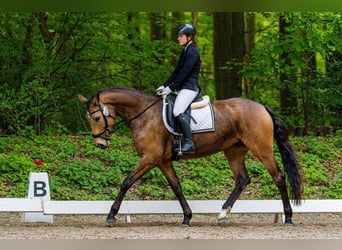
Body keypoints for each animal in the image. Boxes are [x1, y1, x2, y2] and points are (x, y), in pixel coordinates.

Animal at [77, 86, 302, 227]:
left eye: (96, 118)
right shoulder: (162, 161)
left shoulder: (149, 158)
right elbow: (176, 187)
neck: (144, 115)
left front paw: (111, 215)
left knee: (278, 177)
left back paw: (288, 217)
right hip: (234, 151)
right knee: (242, 179)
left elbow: (126, 182)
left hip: (261, 149)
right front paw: (187, 217)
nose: (100, 144)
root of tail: (261, 106)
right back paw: (222, 214)